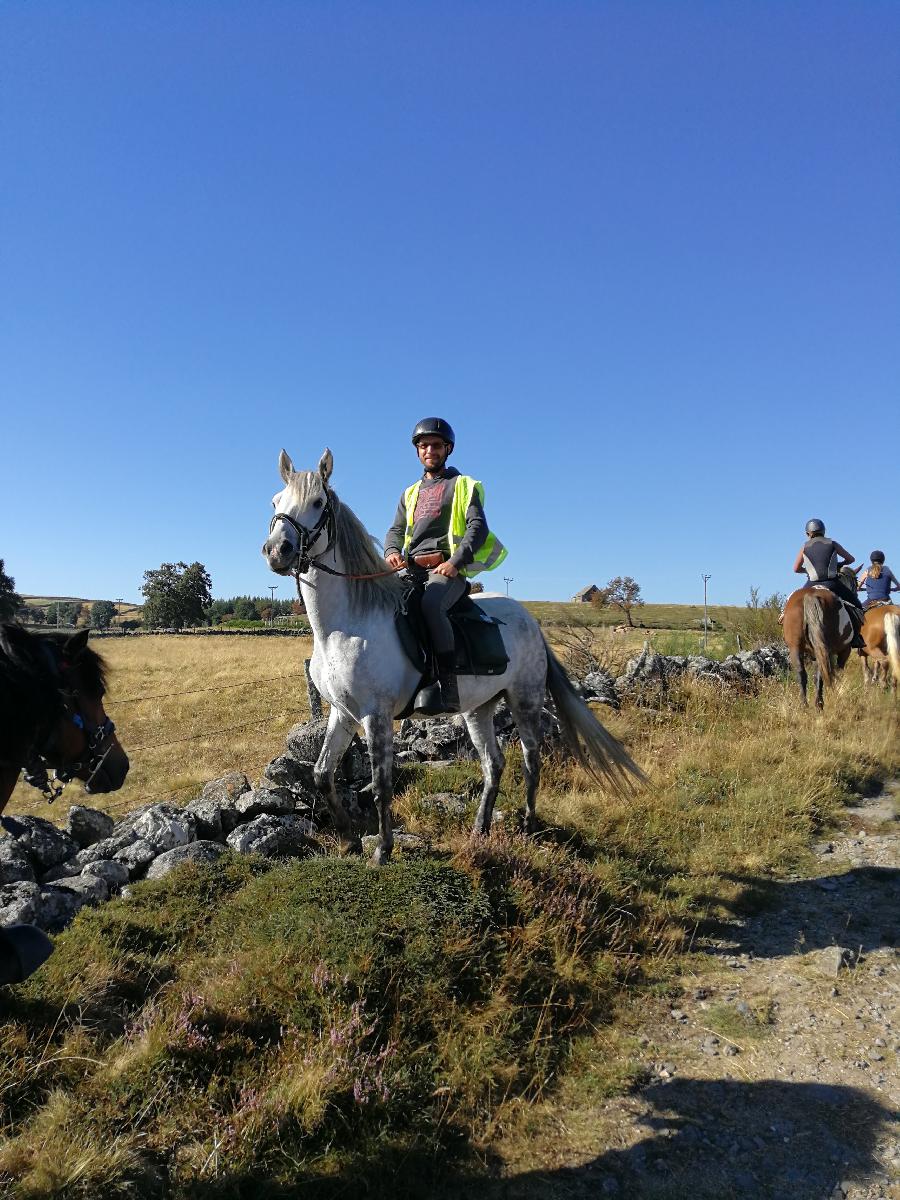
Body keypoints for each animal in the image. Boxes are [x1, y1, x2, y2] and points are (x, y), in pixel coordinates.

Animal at [260, 451, 643, 864]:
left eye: (318, 503)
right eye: (275, 502)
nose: (277, 551)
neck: (344, 626)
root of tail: (529, 619)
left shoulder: (376, 715)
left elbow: (381, 785)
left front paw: (382, 850)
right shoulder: (342, 714)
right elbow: (321, 775)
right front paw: (349, 840)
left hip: (524, 700)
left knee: (531, 758)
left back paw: (528, 824)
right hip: (478, 709)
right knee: (495, 764)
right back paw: (480, 828)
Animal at [782, 566, 859, 705]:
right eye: (855, 583)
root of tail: (810, 595)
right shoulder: (845, 650)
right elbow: (838, 671)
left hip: (796, 647)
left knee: (802, 673)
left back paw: (806, 705)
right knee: (822, 674)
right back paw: (819, 704)